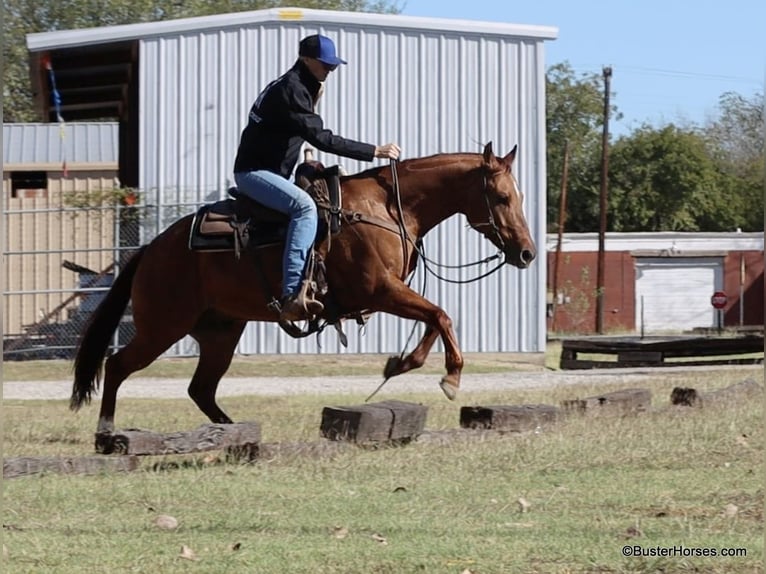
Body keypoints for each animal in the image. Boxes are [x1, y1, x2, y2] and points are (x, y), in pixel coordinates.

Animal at [73, 142, 540, 434]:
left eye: (518, 196)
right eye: (501, 197)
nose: (528, 253)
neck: (388, 208)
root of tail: (150, 250)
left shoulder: (390, 294)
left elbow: (434, 318)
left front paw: (401, 363)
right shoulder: (379, 291)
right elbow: (440, 314)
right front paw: (451, 377)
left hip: (221, 331)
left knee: (200, 388)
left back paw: (231, 429)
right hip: (163, 327)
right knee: (117, 366)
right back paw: (107, 431)